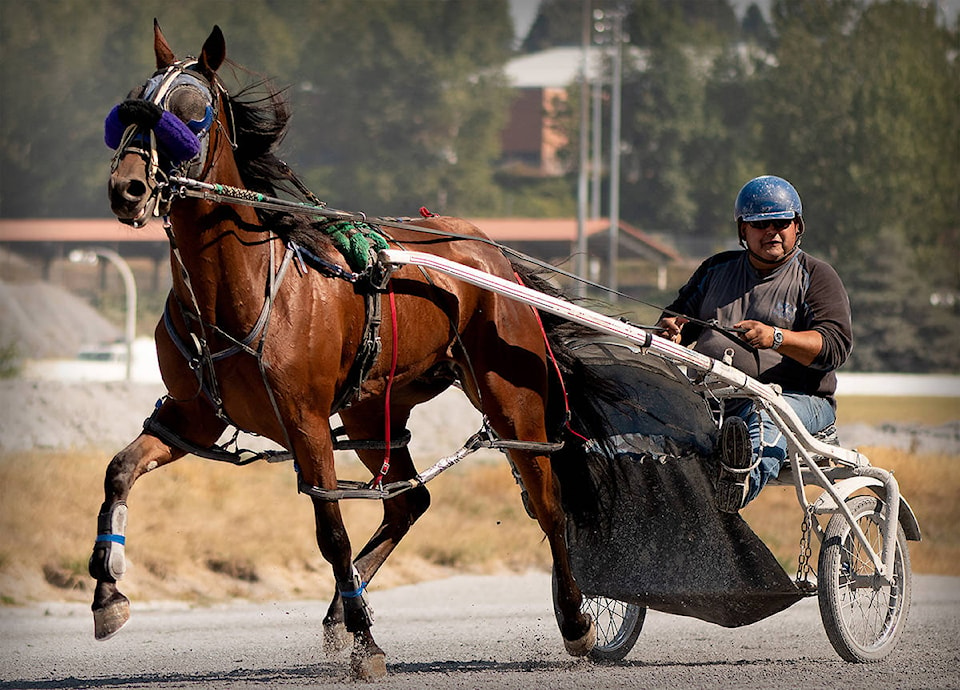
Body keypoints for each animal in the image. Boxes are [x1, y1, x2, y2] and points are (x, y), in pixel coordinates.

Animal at [95, 21, 616, 676]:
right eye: (132, 106)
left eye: (190, 114)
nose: (128, 188)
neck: (241, 286)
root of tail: (487, 249)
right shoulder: (193, 416)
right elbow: (120, 469)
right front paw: (107, 592)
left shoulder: (307, 420)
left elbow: (331, 531)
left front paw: (368, 644)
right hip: (374, 410)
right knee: (409, 501)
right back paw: (344, 608)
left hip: (509, 397)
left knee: (548, 501)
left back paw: (575, 621)